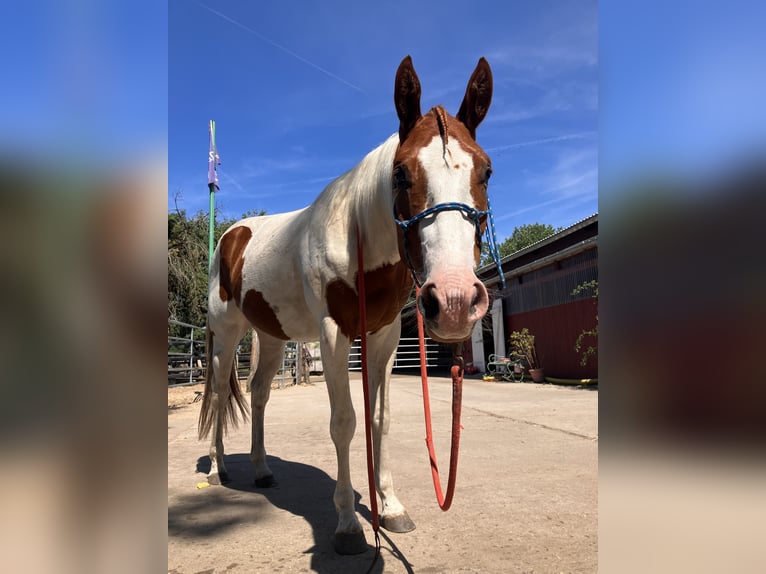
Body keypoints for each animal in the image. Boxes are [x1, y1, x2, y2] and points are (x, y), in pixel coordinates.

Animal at [201, 56, 496, 556]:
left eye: (486, 171)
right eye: (400, 173)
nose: (454, 299)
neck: (357, 239)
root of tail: (233, 236)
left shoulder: (384, 336)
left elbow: (380, 419)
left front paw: (390, 508)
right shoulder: (335, 332)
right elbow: (344, 422)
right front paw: (348, 525)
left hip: (271, 337)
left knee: (258, 394)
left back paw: (261, 470)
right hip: (227, 335)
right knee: (222, 394)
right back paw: (220, 469)